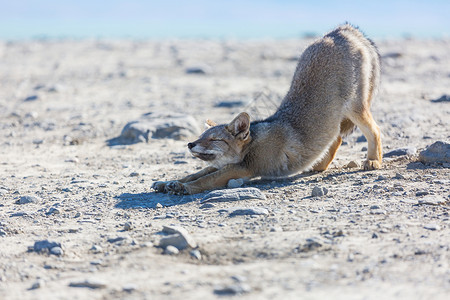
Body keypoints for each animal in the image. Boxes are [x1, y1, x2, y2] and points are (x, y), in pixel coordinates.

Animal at [153, 23, 382, 195]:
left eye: (214, 139)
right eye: (200, 137)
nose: (190, 144)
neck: (253, 143)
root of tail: (342, 29)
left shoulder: (244, 168)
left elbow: (205, 180)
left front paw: (182, 187)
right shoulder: (226, 165)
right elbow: (195, 173)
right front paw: (168, 182)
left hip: (355, 109)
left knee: (375, 130)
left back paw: (373, 161)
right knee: (336, 138)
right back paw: (318, 165)